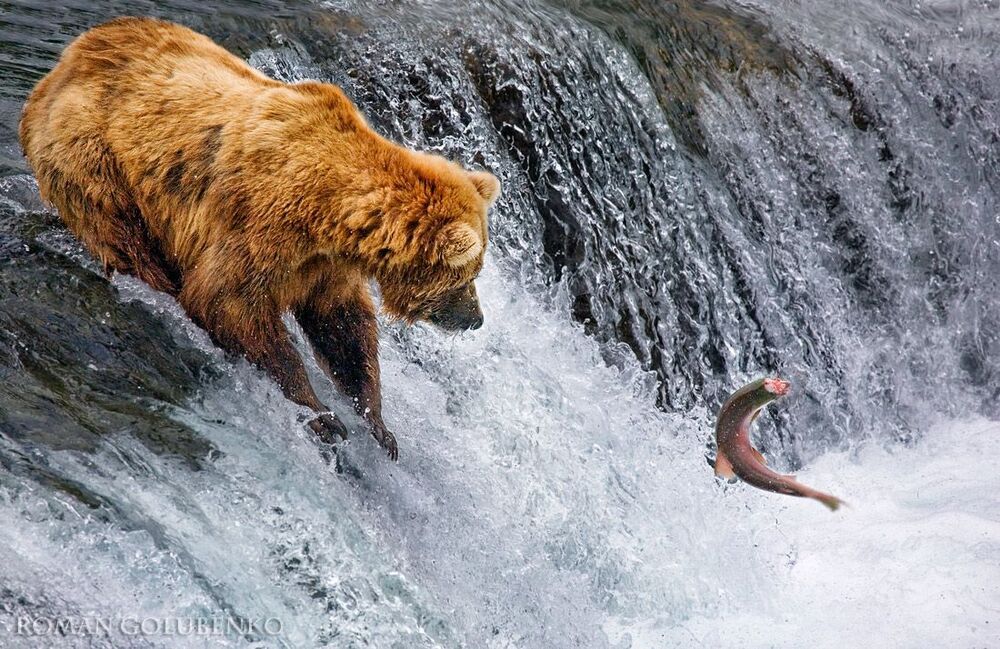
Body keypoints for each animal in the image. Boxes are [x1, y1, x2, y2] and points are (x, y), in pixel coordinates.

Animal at [19, 17, 501, 460]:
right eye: (467, 276)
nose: (476, 318)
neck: (328, 213)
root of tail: (63, 63)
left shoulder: (324, 265)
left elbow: (343, 326)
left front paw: (378, 424)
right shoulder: (260, 225)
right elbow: (229, 302)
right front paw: (321, 415)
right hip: (96, 162)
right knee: (128, 242)